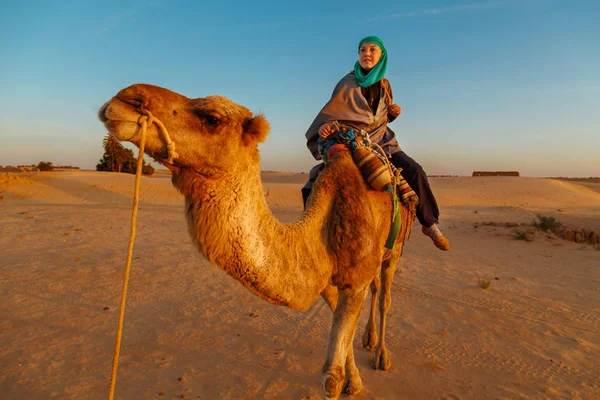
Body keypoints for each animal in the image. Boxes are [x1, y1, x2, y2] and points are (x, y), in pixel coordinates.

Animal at [98, 83, 414, 398]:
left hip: (396, 249)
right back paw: (368, 339)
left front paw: (350, 379)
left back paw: (381, 356)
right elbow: (341, 334)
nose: (127, 97)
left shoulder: (355, 278)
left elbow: (330, 378)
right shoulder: (326, 281)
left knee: (384, 296)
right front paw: (355, 380)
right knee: (376, 289)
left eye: (212, 118)